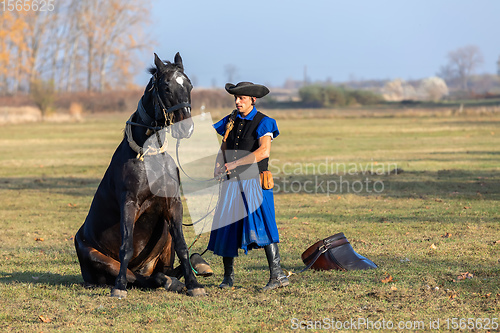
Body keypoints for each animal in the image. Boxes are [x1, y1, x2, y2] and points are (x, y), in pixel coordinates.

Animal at [73, 53, 205, 296]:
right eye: (166, 86)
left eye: (189, 85)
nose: (186, 128)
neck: (150, 156)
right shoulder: (129, 203)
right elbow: (125, 246)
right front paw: (119, 287)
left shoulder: (173, 204)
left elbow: (182, 245)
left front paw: (194, 284)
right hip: (96, 256)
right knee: (138, 277)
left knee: (162, 271)